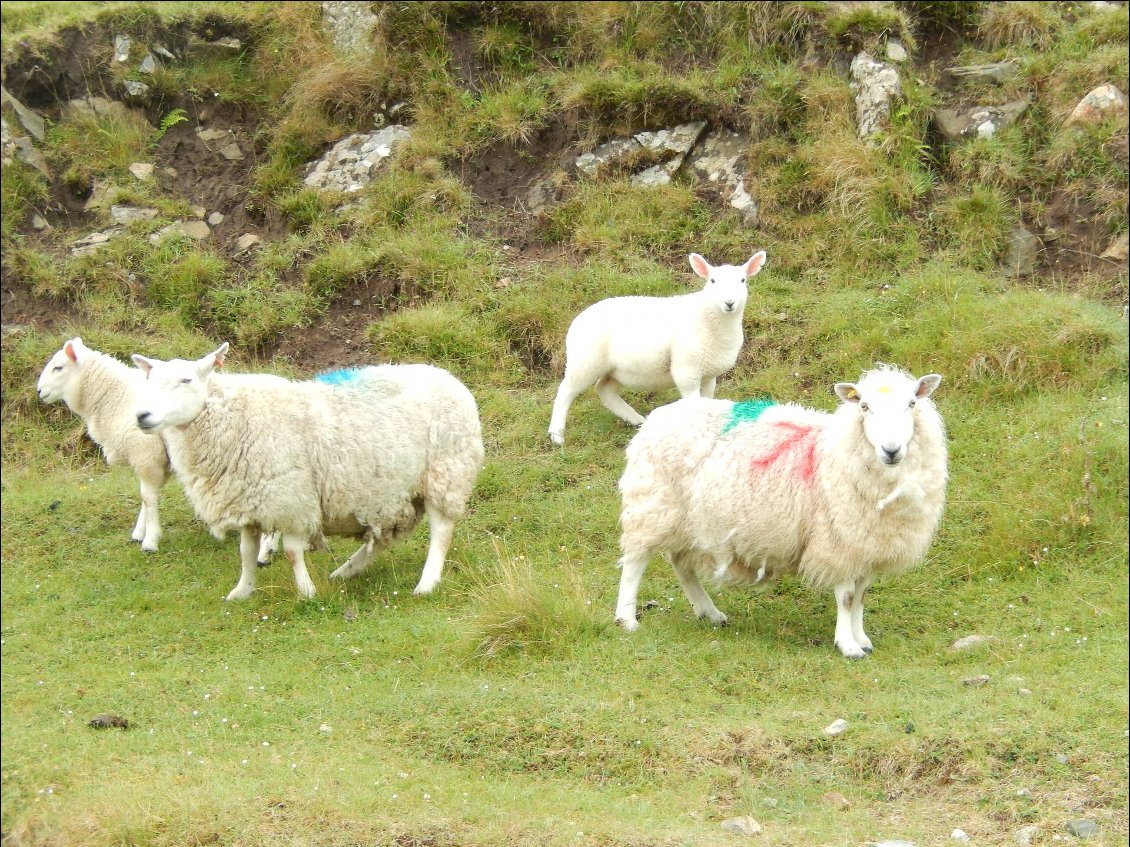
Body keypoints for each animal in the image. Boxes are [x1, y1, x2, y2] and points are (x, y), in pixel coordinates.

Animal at [36, 336, 282, 564]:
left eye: (58, 367)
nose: (39, 391)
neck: (115, 398)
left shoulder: (146, 455)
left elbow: (148, 497)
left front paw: (150, 541)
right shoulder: (158, 460)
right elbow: (146, 495)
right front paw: (139, 532)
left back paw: (264, 553)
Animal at [129, 345, 483, 605]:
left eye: (186, 381)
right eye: (148, 382)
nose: (142, 416)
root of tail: (449, 378)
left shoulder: (291, 499)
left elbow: (291, 552)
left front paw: (306, 592)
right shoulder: (250, 502)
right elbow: (245, 553)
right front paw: (241, 592)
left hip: (446, 474)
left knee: (441, 531)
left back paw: (426, 583)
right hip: (394, 493)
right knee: (383, 538)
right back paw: (346, 571)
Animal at [546, 250, 768, 447]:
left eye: (742, 280)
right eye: (712, 281)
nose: (729, 302)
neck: (711, 318)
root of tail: (577, 320)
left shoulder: (708, 374)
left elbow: (707, 402)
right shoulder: (686, 371)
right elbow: (694, 406)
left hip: (614, 369)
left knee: (604, 390)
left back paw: (636, 419)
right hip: (585, 361)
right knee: (566, 391)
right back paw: (557, 435)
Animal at [614, 363, 949, 655]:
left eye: (911, 403)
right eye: (864, 407)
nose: (891, 450)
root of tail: (660, 415)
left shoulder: (867, 544)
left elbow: (861, 596)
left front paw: (861, 638)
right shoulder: (837, 539)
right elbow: (846, 596)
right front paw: (848, 646)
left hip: (689, 521)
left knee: (681, 564)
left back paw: (709, 611)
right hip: (652, 504)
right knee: (635, 562)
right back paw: (626, 619)